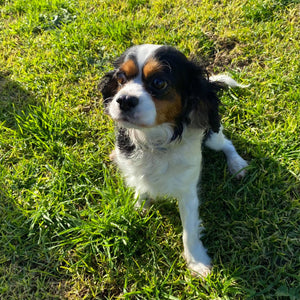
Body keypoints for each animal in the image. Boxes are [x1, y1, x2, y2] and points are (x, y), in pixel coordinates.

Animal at [99, 44, 248, 276]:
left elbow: (189, 230)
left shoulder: (187, 192)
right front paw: (140, 203)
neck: (154, 139)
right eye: (120, 78)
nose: (123, 100)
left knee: (227, 144)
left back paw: (237, 165)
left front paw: (196, 262)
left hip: (212, 137)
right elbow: (141, 185)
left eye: (159, 83)